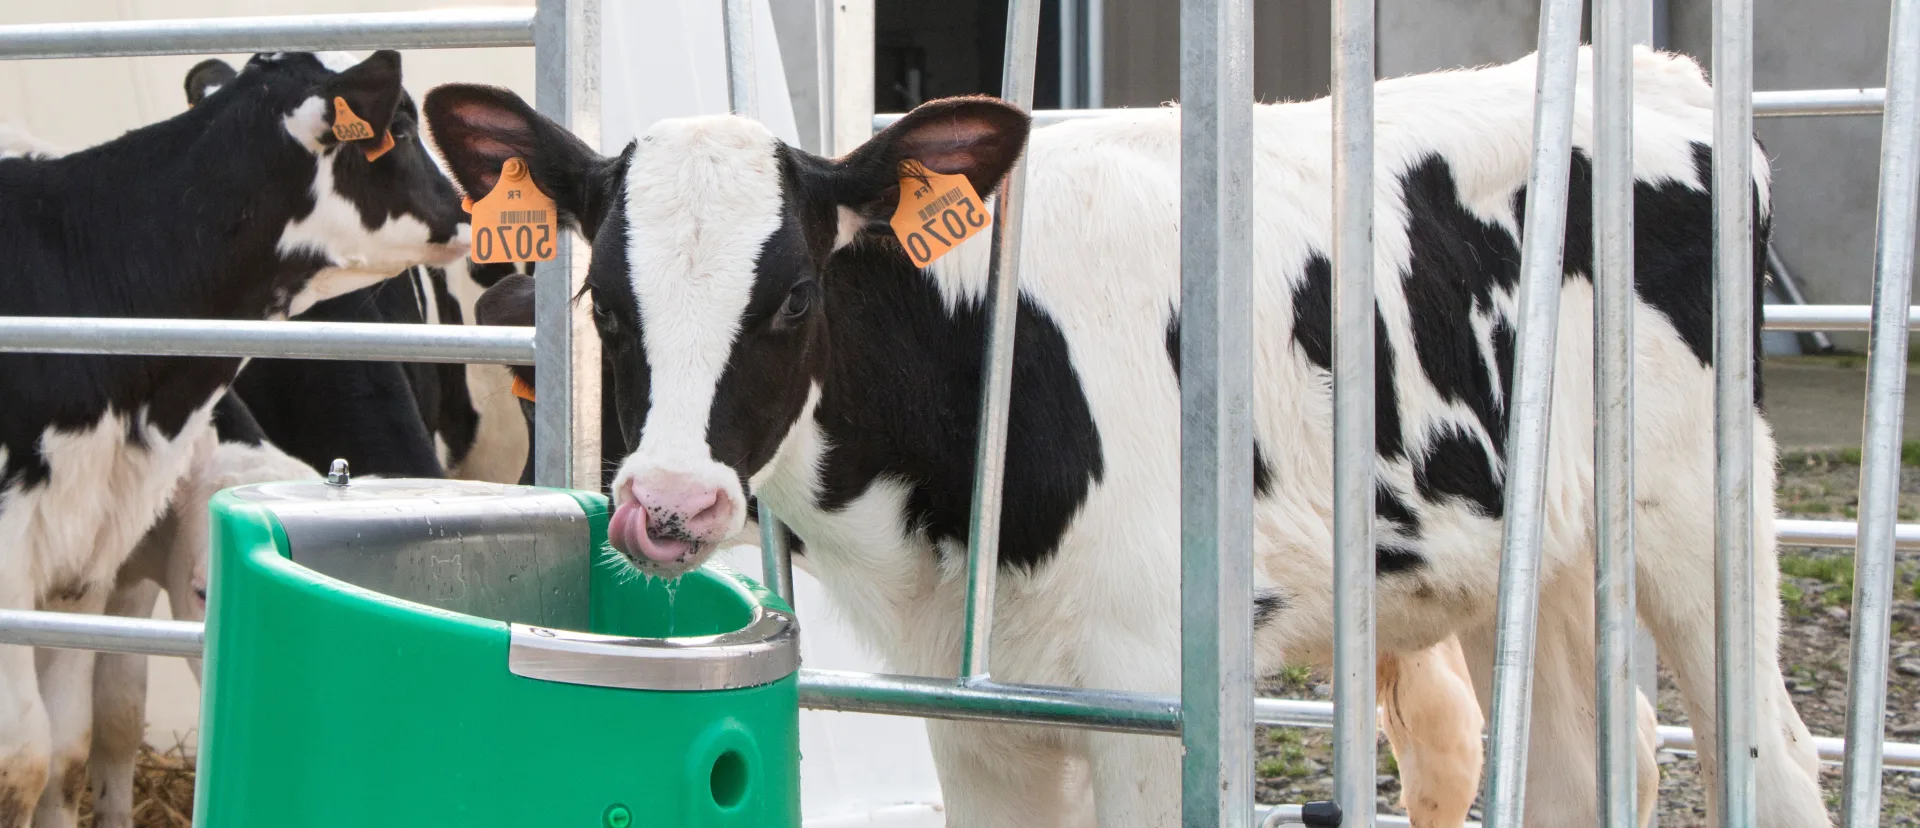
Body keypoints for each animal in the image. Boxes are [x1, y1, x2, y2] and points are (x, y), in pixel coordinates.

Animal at [425, 45, 1824, 827]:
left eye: (797, 296)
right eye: (603, 301)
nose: (671, 505)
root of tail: (1668, 80)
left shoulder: (1156, 687)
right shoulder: (973, 710)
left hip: (1705, 521)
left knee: (1771, 759)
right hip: (1527, 551)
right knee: (1583, 771)